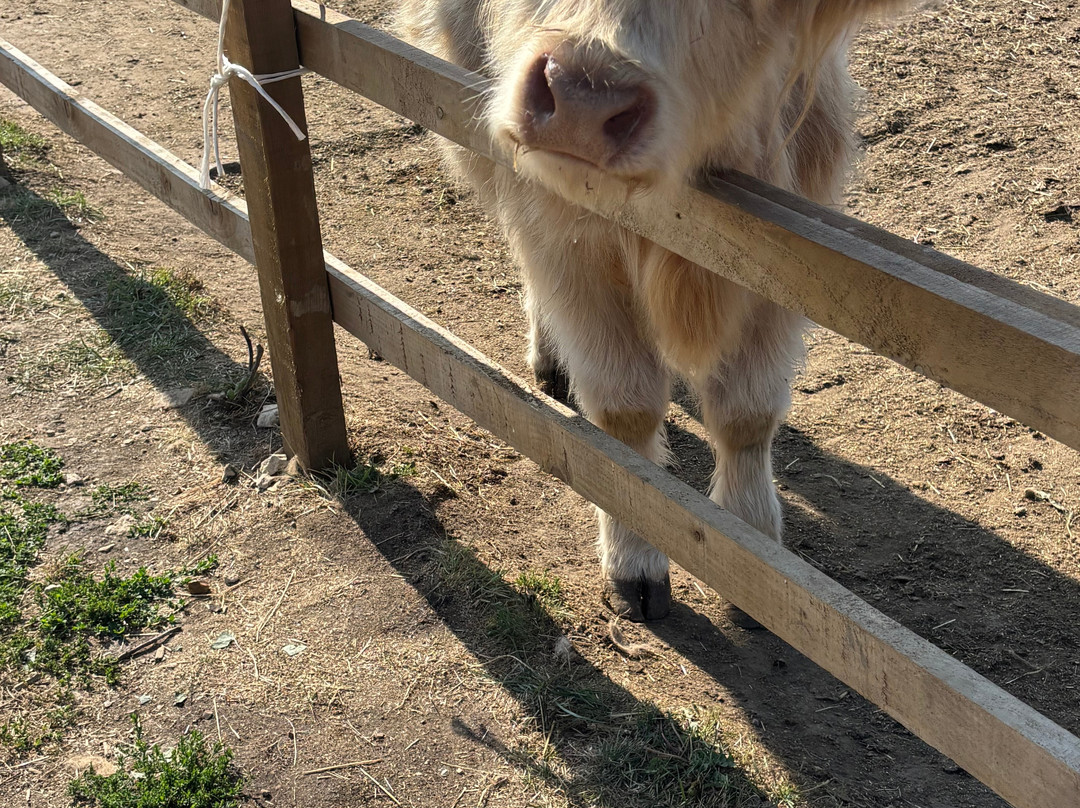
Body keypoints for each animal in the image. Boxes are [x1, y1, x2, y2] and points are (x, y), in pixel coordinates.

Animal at [399, 1, 908, 621]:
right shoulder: (566, 236)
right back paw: (550, 357)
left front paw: (755, 556)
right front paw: (636, 557)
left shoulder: (784, 262)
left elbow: (749, 414)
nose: (581, 99)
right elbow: (626, 411)